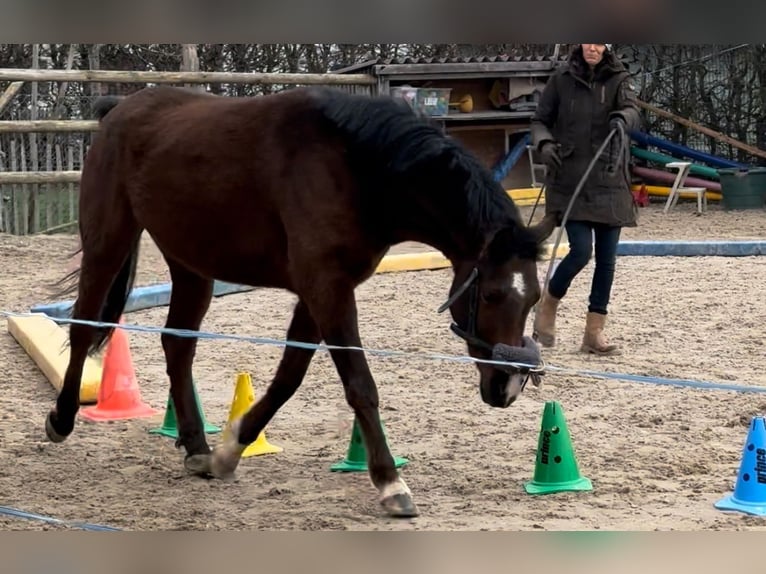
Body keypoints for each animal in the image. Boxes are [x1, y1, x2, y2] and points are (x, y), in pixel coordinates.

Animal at [46, 84, 560, 516]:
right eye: (491, 294)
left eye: (533, 296)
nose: (508, 387)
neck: (356, 170)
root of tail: (119, 108)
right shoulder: (327, 289)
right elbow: (360, 385)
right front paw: (390, 483)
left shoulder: (322, 293)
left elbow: (288, 377)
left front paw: (228, 452)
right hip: (108, 243)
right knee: (84, 327)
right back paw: (62, 418)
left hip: (192, 266)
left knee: (178, 345)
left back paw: (196, 447)